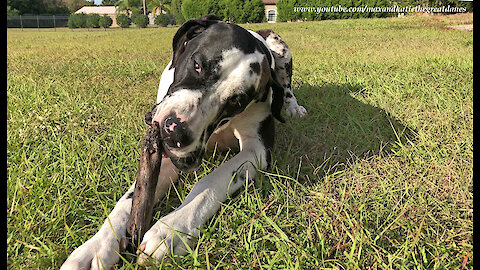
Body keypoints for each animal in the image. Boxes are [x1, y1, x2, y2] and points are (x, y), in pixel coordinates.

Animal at [62, 14, 306, 270]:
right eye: (197, 65)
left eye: (236, 101)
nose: (175, 131)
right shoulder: (162, 155)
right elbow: (128, 200)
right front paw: (96, 246)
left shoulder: (257, 148)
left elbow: (211, 180)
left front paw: (170, 231)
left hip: (280, 46)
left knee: (286, 88)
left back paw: (293, 108)